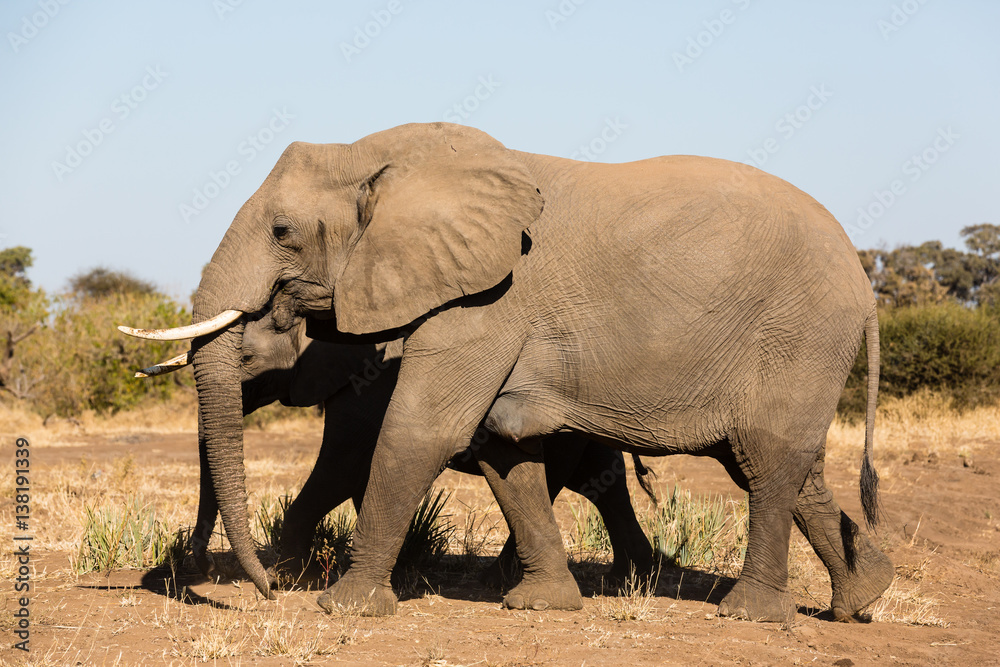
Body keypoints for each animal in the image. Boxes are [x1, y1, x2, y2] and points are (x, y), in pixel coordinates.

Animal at [178, 302, 656, 588]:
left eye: (246, 359)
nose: (202, 566)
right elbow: (362, 474)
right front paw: (401, 560)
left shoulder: (371, 378)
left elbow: (342, 467)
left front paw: (289, 575)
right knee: (601, 481)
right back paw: (632, 576)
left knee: (564, 479)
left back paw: (501, 580)